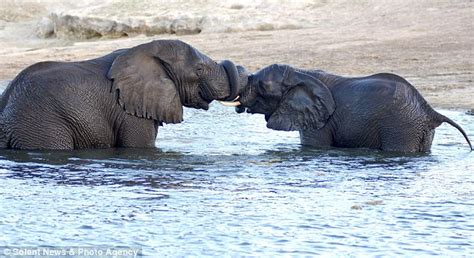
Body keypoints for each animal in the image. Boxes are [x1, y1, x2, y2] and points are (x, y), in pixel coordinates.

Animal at [228, 64, 472, 152]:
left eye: (262, 87)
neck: (298, 72)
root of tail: (430, 110)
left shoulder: (320, 122)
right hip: (418, 129)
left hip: (402, 126)